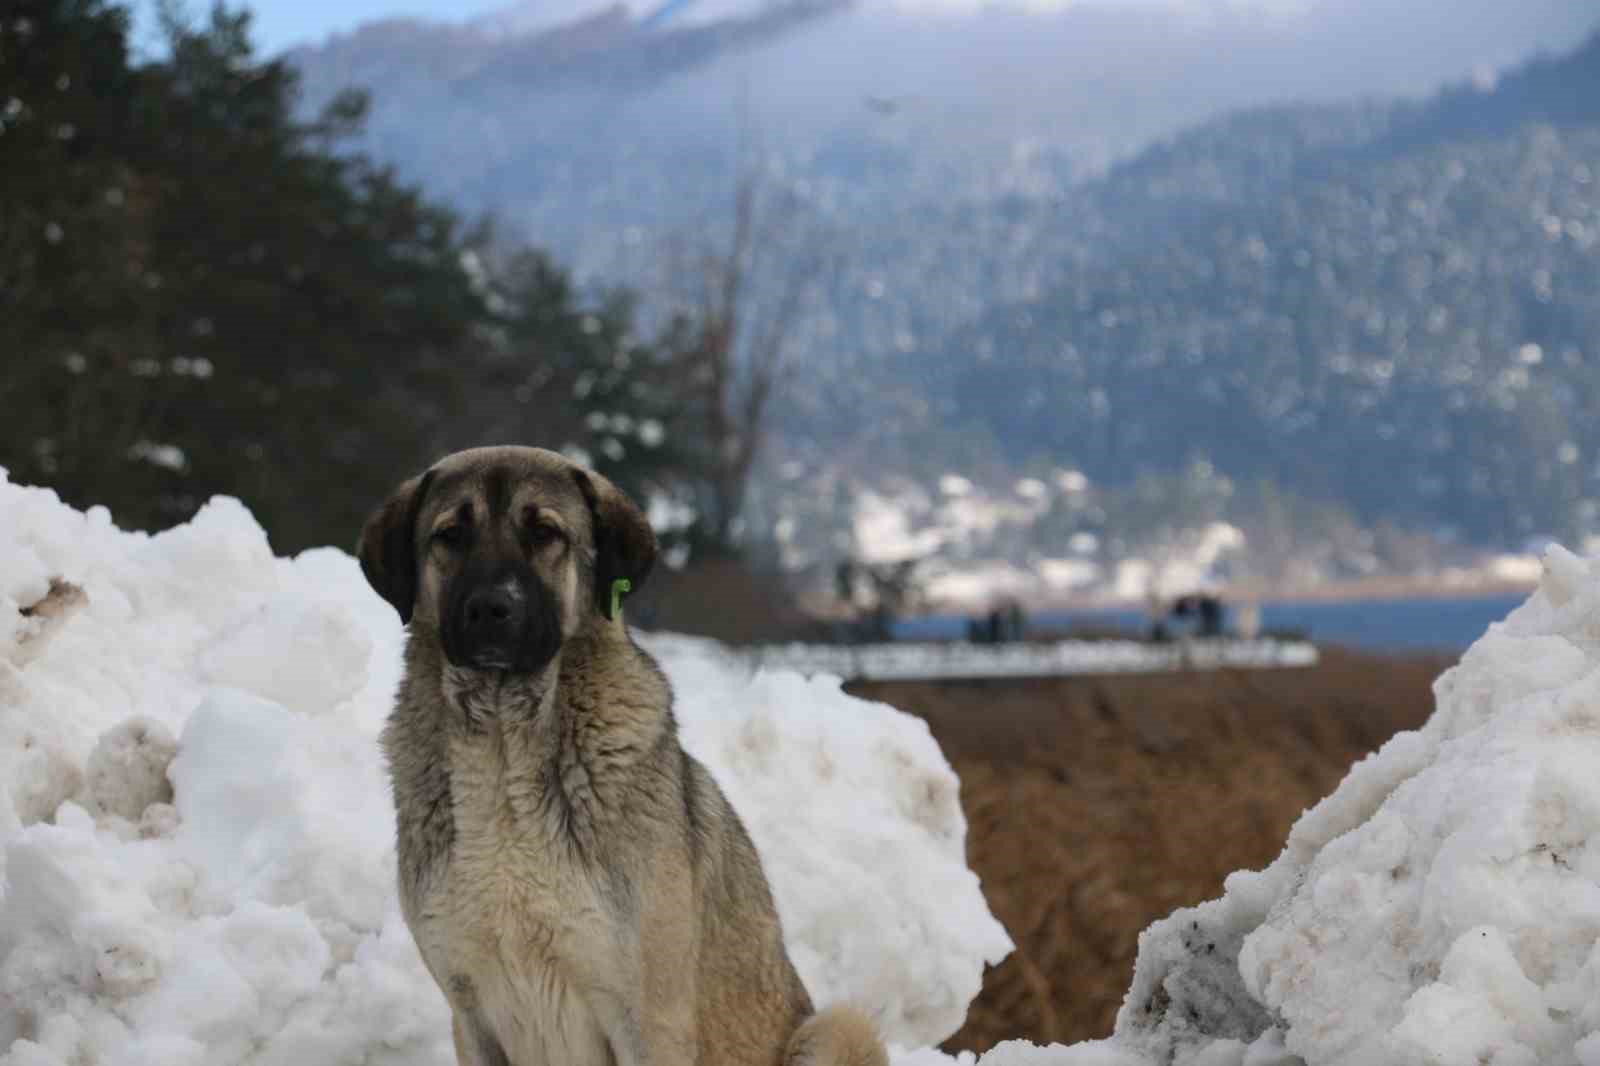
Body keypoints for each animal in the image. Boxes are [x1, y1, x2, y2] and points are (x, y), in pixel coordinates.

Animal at [356, 444, 889, 1062]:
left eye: (545, 533)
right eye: (450, 535)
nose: (490, 609)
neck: (502, 745)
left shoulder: (647, 1017)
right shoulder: (471, 1014)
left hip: (836, 1028)